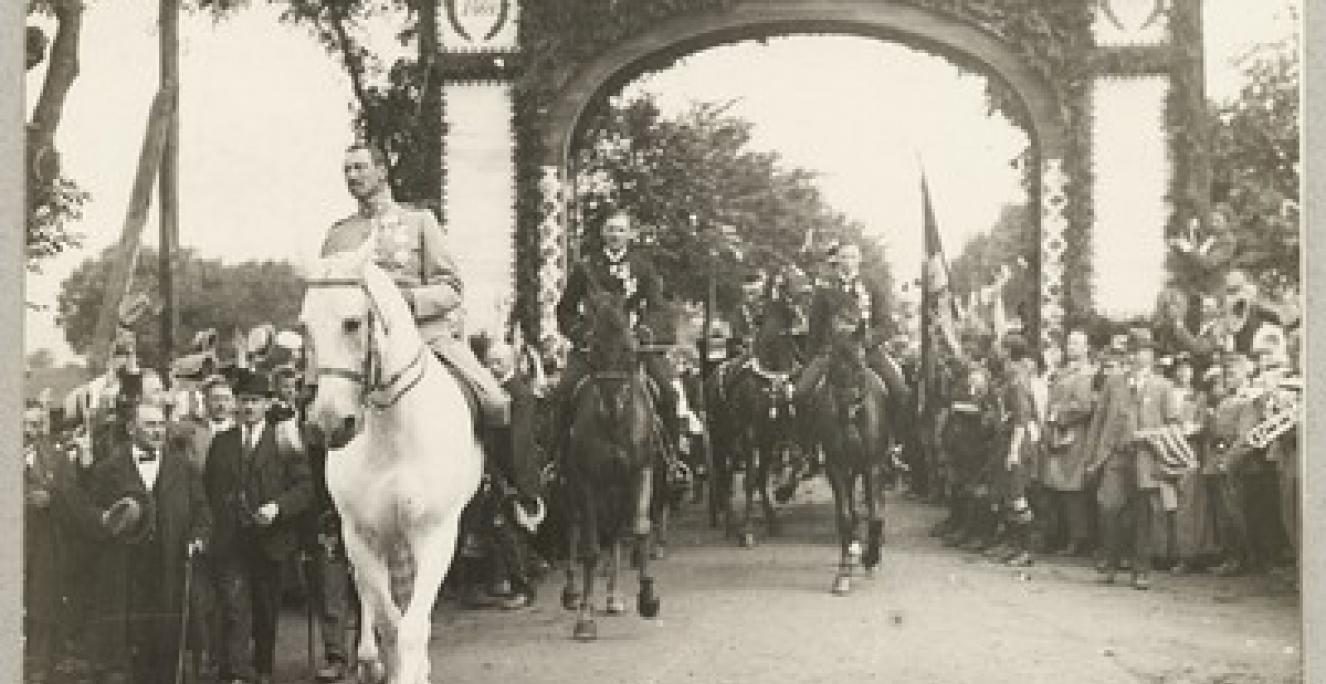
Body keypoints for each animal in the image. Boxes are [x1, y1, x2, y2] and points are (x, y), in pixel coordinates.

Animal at [301, 245, 482, 684]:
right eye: (305, 327)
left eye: (352, 323)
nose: (330, 423)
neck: (392, 432)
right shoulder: (360, 534)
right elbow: (389, 620)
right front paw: (385, 661)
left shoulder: (435, 533)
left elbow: (413, 626)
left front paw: (415, 669)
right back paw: (368, 659)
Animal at [559, 290, 663, 641]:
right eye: (593, 348)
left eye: (630, 350)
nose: (613, 404)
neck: (615, 426)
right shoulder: (586, 481)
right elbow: (590, 548)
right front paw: (585, 617)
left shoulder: (640, 472)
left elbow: (640, 529)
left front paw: (648, 598)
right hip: (573, 488)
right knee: (575, 529)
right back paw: (571, 592)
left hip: (616, 490)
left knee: (616, 533)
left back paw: (615, 596)